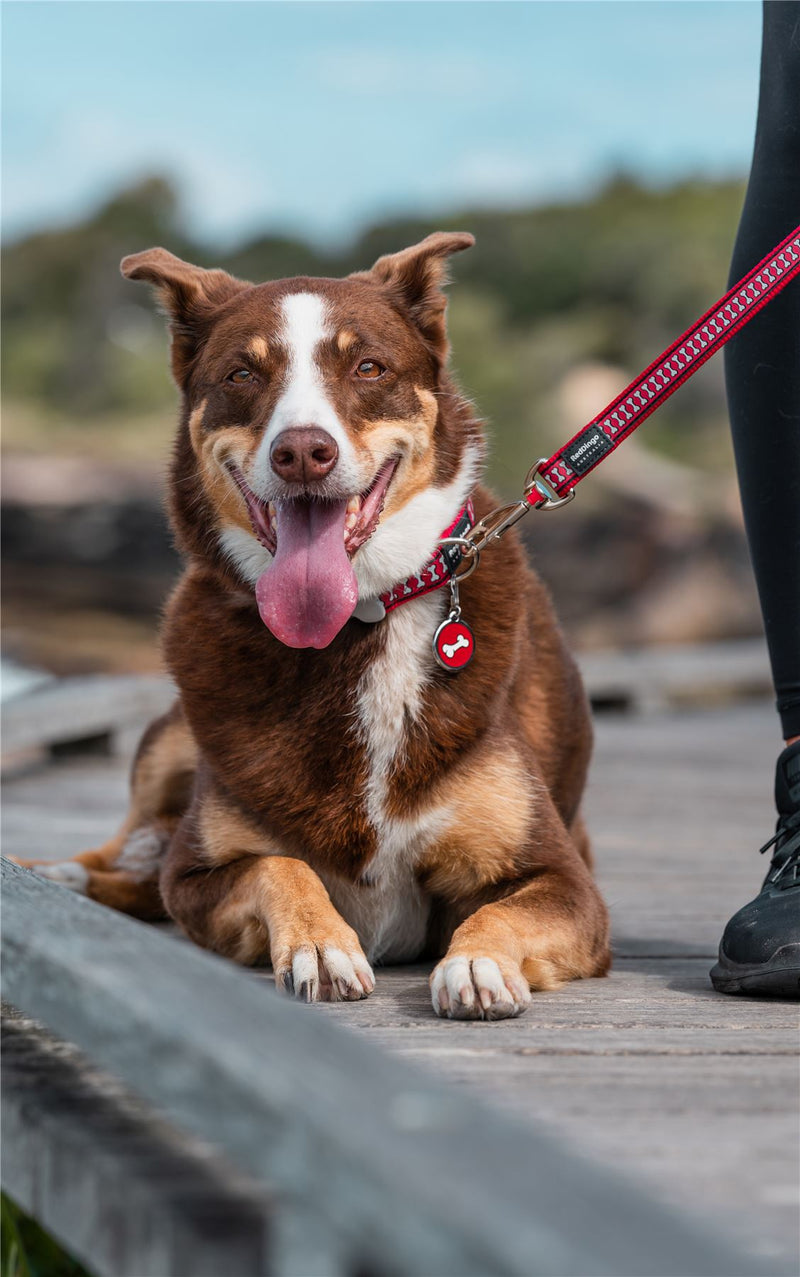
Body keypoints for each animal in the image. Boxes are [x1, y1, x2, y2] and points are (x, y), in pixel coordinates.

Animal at [26, 237, 610, 1016]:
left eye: (368, 367)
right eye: (242, 373)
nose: (303, 451)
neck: (357, 625)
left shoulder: (564, 877)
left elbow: (500, 911)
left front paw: (477, 963)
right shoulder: (195, 874)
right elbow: (275, 865)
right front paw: (320, 944)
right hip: (168, 743)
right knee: (126, 856)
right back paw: (57, 872)